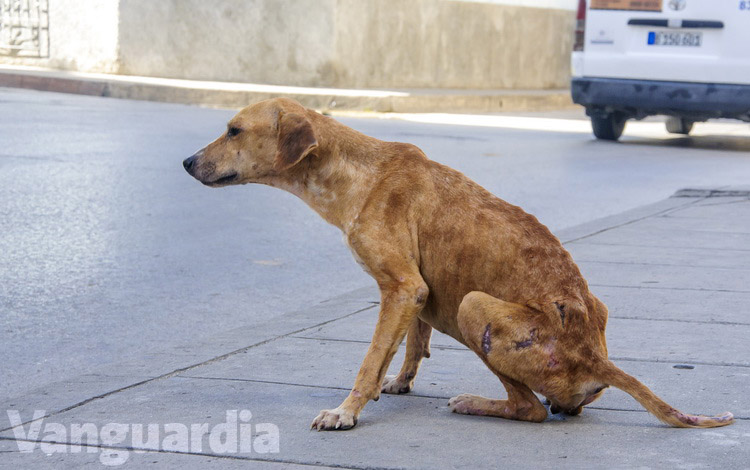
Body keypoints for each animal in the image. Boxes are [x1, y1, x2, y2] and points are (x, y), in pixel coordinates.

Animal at [182, 97, 736, 432]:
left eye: (233, 130)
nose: (186, 163)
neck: (357, 173)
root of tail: (594, 358)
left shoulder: (401, 287)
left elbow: (369, 358)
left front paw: (346, 411)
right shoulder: (415, 293)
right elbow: (408, 342)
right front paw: (396, 382)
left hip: (474, 308)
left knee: (529, 409)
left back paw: (477, 403)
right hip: (585, 311)